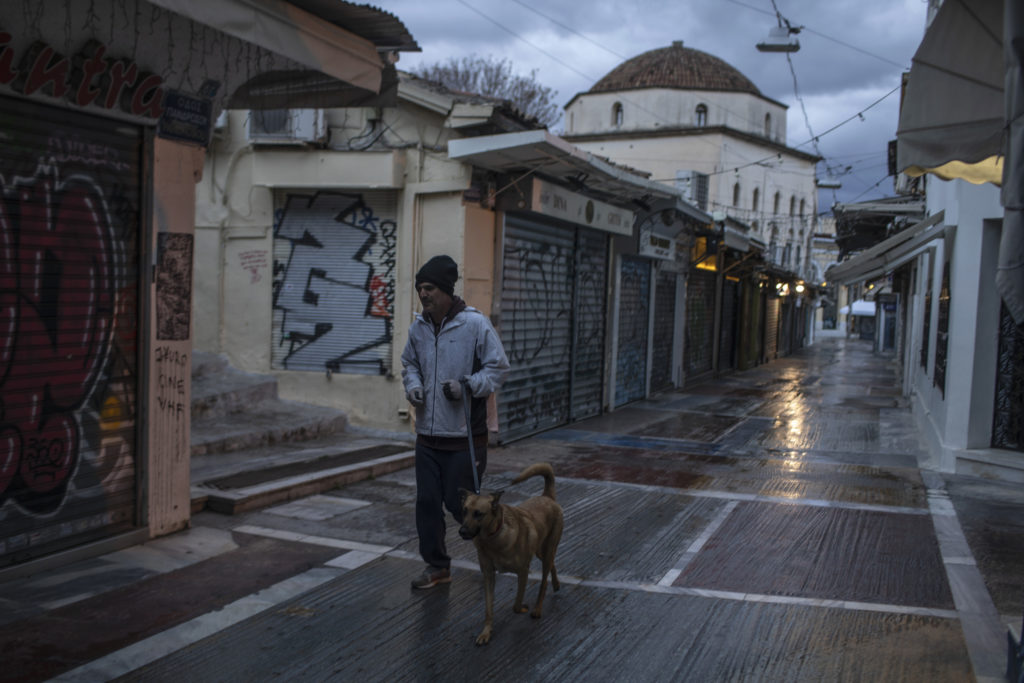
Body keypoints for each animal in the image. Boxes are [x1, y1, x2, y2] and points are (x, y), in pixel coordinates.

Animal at [460, 458, 565, 647]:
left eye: (479, 514)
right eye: (464, 510)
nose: (462, 531)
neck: (493, 538)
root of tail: (546, 496)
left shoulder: (523, 571)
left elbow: (516, 605)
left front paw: (523, 607)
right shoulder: (488, 574)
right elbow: (488, 608)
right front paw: (486, 633)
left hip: (547, 549)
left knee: (544, 581)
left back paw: (537, 609)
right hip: (540, 550)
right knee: (552, 563)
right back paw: (556, 583)